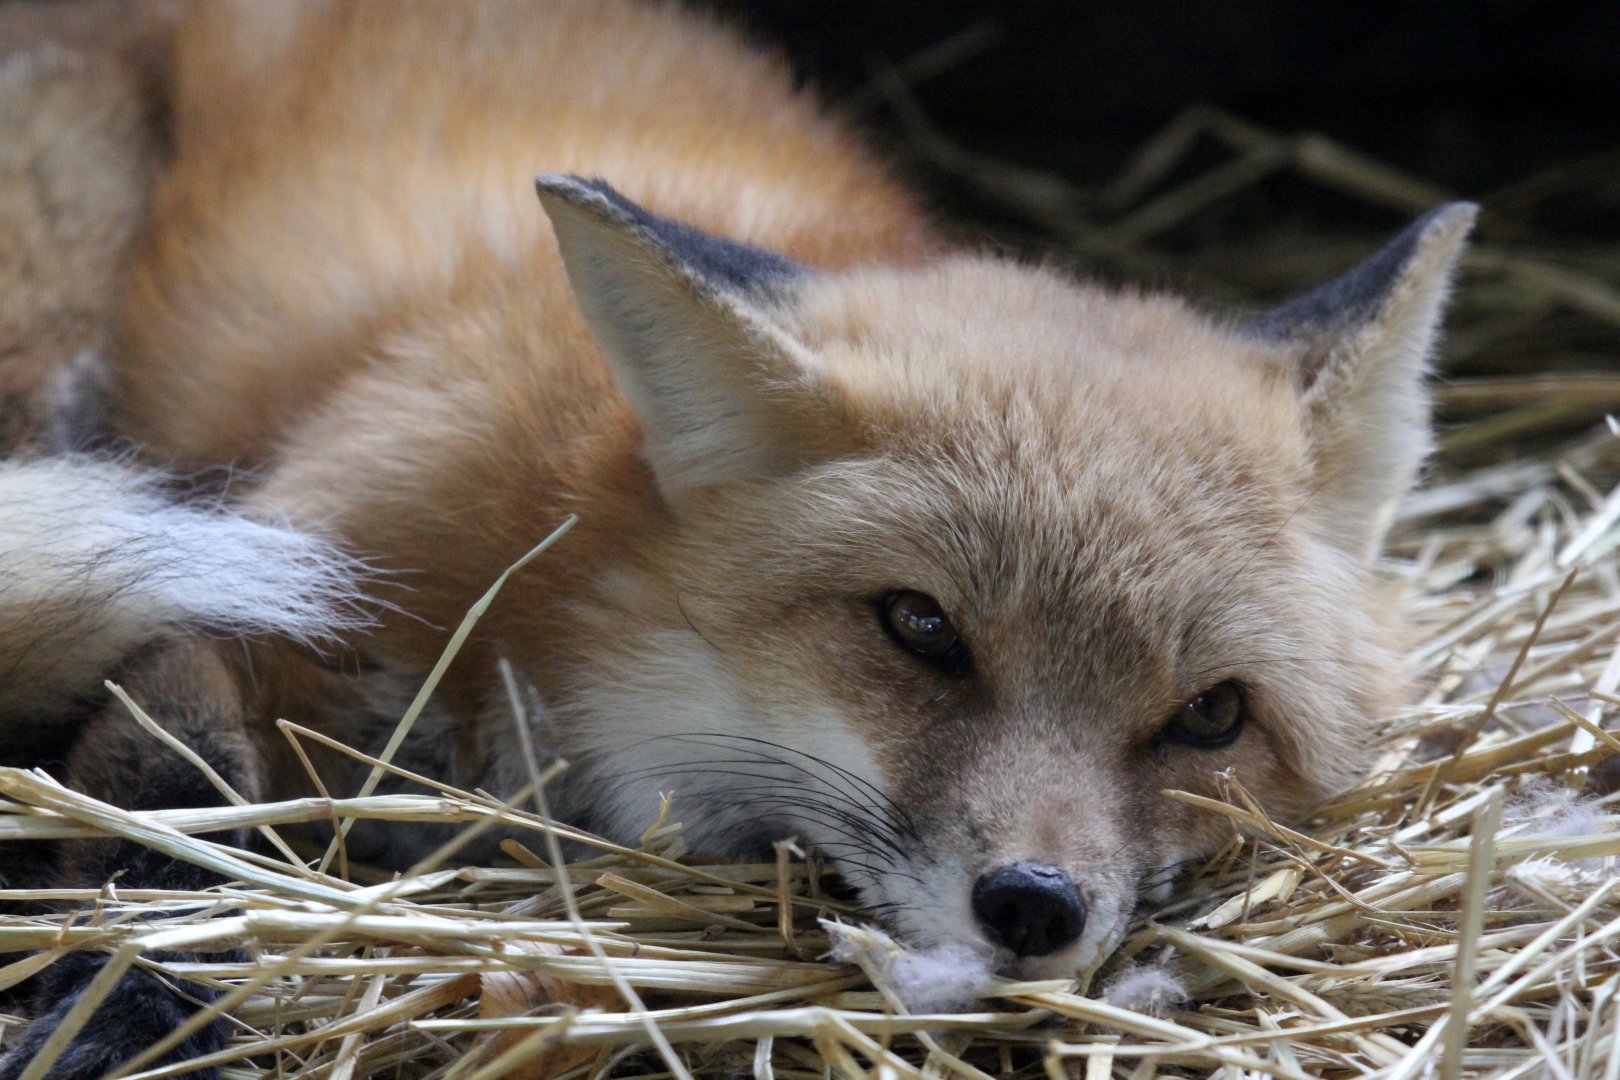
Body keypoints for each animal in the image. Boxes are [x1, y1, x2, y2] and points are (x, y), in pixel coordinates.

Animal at [0, 0, 1474, 1075]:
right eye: (921, 629)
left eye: (1212, 718)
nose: (1034, 908)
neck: (566, 561)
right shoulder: (293, 554)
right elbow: (170, 791)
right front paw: (115, 999)